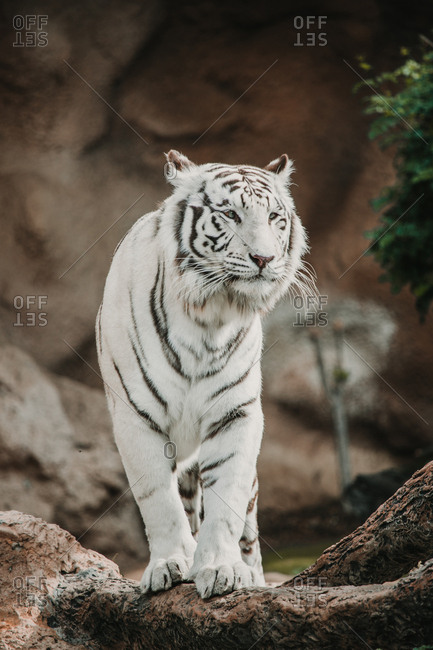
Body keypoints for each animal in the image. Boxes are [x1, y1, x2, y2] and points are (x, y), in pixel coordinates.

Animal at [96, 149, 308, 596]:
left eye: (275, 217)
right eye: (229, 214)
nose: (264, 259)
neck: (208, 315)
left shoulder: (235, 413)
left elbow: (226, 498)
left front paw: (219, 568)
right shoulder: (135, 416)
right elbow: (158, 499)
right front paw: (169, 564)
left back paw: (251, 574)